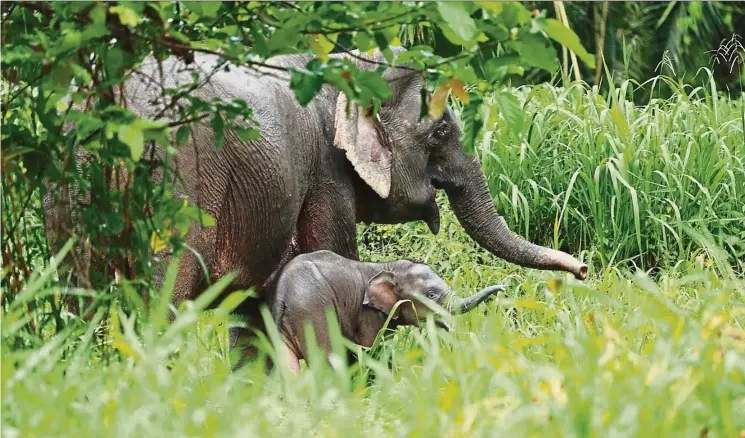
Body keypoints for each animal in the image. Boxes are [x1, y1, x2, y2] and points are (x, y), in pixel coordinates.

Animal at [45, 48, 588, 360]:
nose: (583, 270)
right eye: (440, 131)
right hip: (175, 183)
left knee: (78, 299)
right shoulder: (326, 172)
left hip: (70, 183)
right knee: (164, 298)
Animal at [268, 252, 506, 372]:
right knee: (326, 361)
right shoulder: (367, 314)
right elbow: (373, 349)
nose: (504, 288)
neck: (388, 267)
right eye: (430, 295)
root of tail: (282, 295)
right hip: (313, 313)